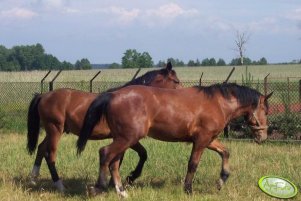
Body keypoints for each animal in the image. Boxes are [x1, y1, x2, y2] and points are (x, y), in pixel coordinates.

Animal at [26, 62, 180, 192]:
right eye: (176, 81)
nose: (182, 94)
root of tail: (43, 95)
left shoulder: (123, 139)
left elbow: (129, 156)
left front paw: (117, 182)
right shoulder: (127, 138)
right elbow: (137, 155)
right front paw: (126, 179)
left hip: (53, 131)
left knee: (41, 148)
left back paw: (33, 179)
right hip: (55, 129)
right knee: (50, 154)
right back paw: (59, 185)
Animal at [77, 82, 272, 197]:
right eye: (265, 110)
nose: (263, 136)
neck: (217, 103)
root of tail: (112, 95)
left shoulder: (209, 140)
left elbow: (225, 152)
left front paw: (221, 180)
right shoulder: (201, 140)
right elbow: (193, 164)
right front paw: (188, 189)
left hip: (124, 138)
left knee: (114, 163)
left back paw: (121, 191)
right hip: (127, 138)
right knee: (105, 153)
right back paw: (99, 186)